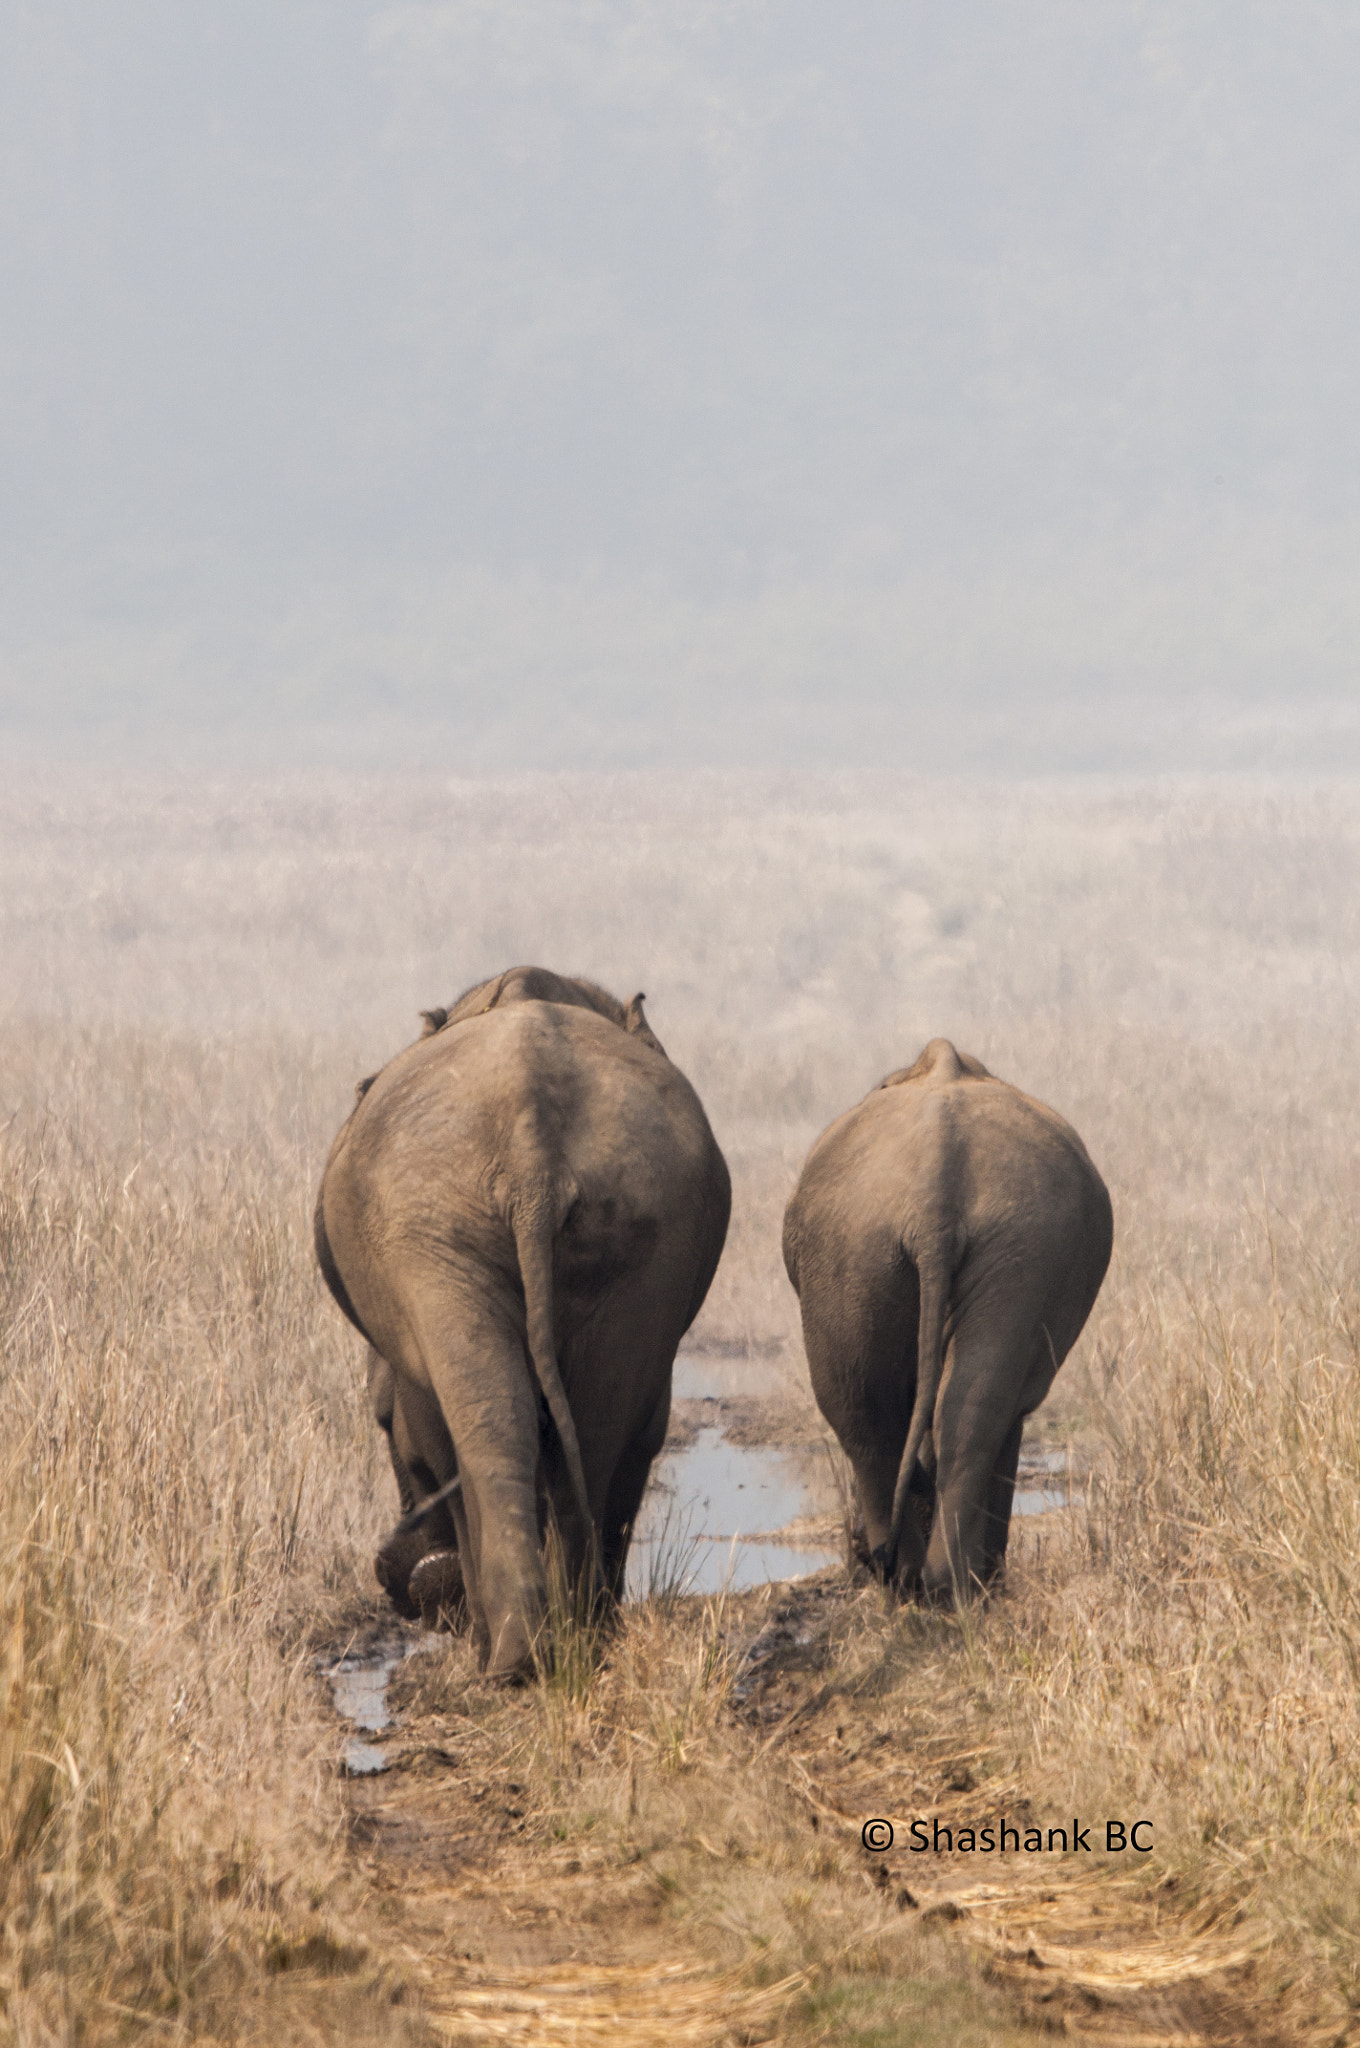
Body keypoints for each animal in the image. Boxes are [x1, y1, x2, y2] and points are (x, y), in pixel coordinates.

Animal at [782, 1048, 1114, 1605]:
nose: (855, 1559)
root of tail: (934, 1194)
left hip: (949, 1244)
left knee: (876, 1407)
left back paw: (921, 1583)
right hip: (885, 1243)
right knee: (910, 1405)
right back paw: (937, 1584)